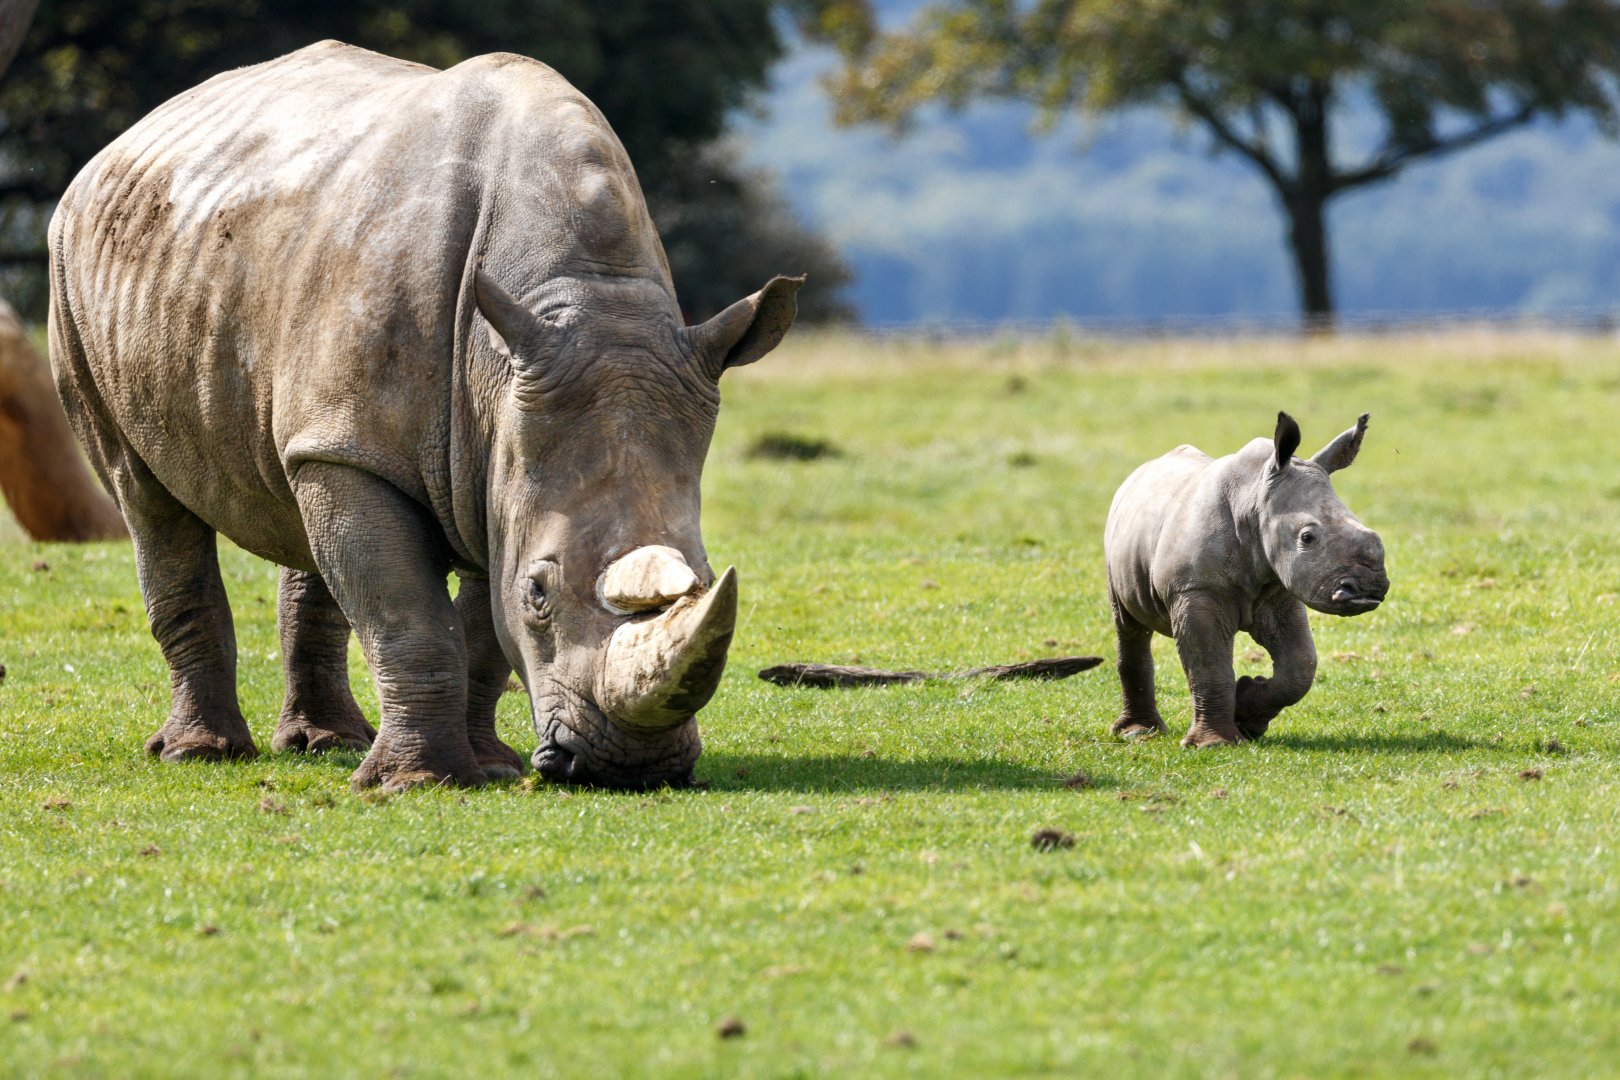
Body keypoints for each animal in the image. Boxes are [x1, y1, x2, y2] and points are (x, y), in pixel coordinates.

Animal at [48, 42, 803, 791]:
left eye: (705, 579)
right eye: (539, 593)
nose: (630, 767)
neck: (580, 298)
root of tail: (122, 144)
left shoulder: (496, 451)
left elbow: (478, 630)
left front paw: (490, 767)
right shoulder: (429, 436)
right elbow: (408, 615)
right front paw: (417, 783)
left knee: (303, 489)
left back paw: (323, 743)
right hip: (74, 272)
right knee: (147, 496)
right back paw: (201, 753)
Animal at [1103, 412, 1389, 747]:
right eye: (1307, 538)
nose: (1370, 589)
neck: (1253, 498)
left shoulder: (1280, 589)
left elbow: (1300, 666)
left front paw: (1247, 715)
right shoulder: (1194, 589)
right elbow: (1209, 665)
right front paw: (1214, 744)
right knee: (1129, 625)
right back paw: (1138, 732)